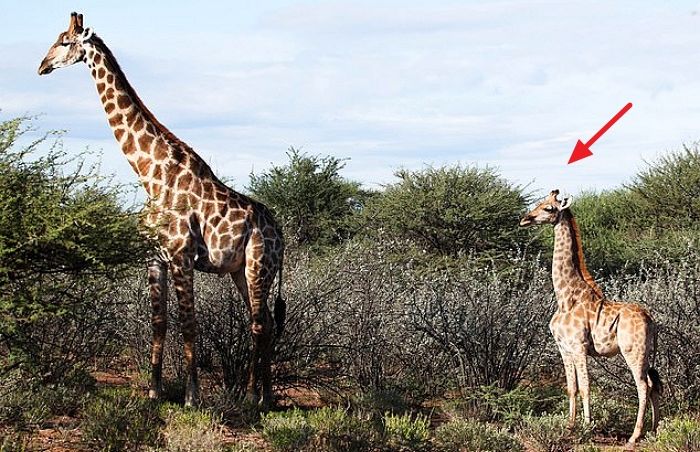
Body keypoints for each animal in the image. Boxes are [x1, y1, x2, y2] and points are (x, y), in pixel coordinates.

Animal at [39, 12, 288, 408]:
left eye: (64, 41)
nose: (42, 66)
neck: (150, 175)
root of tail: (281, 234)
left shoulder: (182, 256)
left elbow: (189, 324)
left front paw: (191, 396)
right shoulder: (154, 258)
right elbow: (159, 322)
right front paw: (154, 391)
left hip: (258, 265)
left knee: (259, 323)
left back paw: (252, 396)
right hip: (240, 270)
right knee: (263, 322)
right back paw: (265, 397)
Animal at [520, 190, 660, 444]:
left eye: (548, 208)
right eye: (539, 203)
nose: (525, 219)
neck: (566, 297)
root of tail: (651, 320)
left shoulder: (579, 347)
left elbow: (585, 386)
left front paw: (586, 428)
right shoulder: (564, 348)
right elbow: (571, 387)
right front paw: (569, 427)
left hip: (633, 351)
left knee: (643, 386)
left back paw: (634, 436)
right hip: (645, 353)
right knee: (654, 384)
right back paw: (654, 431)